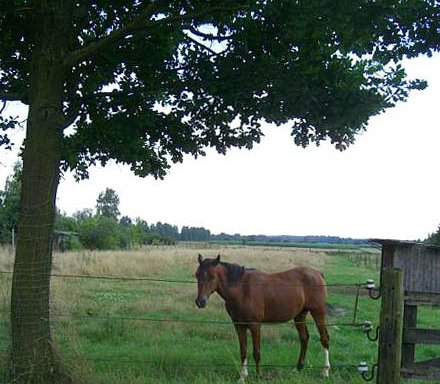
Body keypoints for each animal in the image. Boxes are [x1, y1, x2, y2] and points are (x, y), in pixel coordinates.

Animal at [194, 254, 328, 382]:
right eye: (197, 275)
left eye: (212, 276)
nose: (200, 301)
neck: (242, 289)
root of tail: (317, 273)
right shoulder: (239, 325)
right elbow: (243, 350)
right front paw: (242, 377)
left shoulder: (255, 325)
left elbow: (256, 352)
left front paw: (258, 376)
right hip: (300, 315)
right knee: (304, 338)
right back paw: (298, 368)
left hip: (318, 313)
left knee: (324, 338)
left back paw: (325, 372)